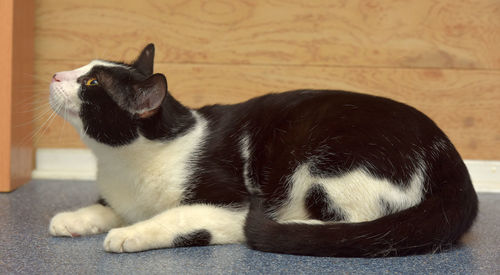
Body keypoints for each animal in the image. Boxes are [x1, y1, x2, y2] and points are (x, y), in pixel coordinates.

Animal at [48, 44, 478, 258]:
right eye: (84, 72)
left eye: (90, 83)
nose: (54, 74)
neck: (124, 163)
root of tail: (451, 160)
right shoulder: (121, 194)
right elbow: (106, 207)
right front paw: (74, 218)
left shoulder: (229, 203)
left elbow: (175, 218)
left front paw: (129, 234)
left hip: (332, 164)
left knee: (363, 223)